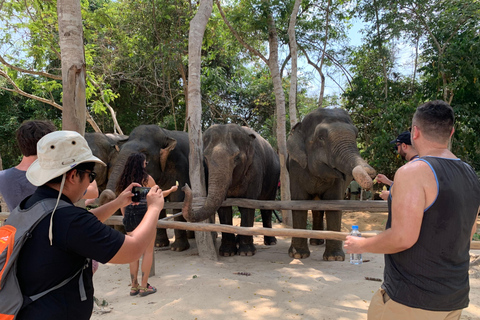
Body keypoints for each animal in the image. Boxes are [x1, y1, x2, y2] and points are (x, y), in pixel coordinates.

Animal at [184, 124, 282, 256]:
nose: (184, 187)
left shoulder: (255, 169)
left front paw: (246, 253)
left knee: (267, 206)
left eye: (236, 157)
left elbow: (248, 205)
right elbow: (223, 208)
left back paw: (271, 242)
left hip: (274, 179)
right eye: (205, 157)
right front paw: (227, 252)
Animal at [286, 107, 376, 260]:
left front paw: (334, 258)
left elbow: (334, 203)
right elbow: (299, 203)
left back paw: (317, 242)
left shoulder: (339, 180)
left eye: (356, 136)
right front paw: (298, 255)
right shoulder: (295, 169)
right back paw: (315, 242)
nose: (371, 173)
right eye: (321, 137)